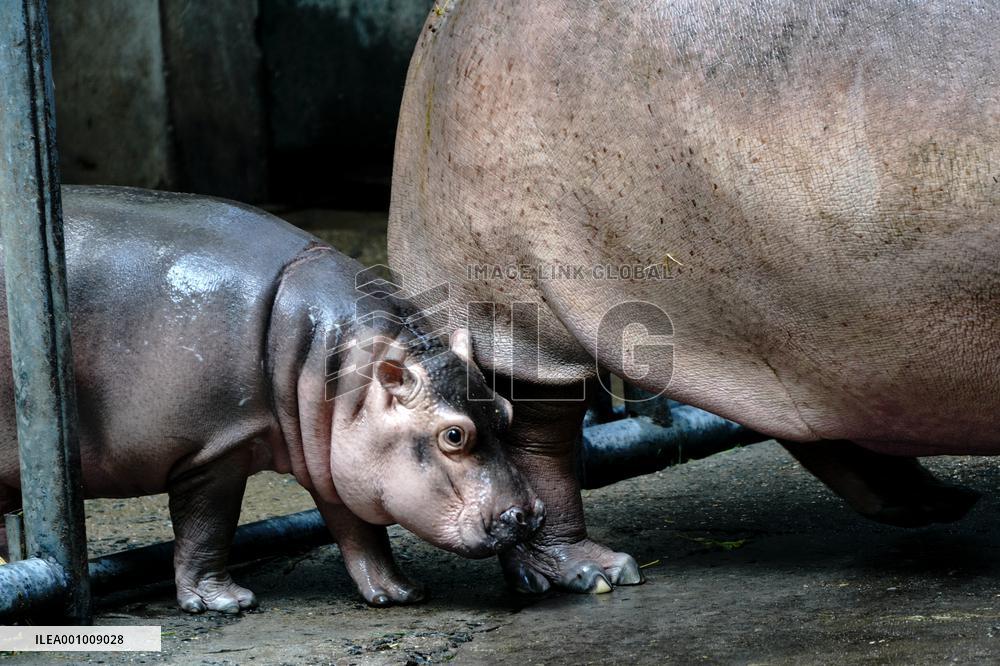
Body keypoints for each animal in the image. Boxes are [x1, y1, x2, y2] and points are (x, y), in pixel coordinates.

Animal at [0, 185, 543, 613]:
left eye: (505, 410)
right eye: (453, 435)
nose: (530, 514)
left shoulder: (332, 453)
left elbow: (357, 528)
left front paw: (399, 592)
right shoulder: (215, 449)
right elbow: (207, 528)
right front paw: (226, 603)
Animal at [387, 0, 999, 594]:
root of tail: (433, 37)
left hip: (800, 319)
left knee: (823, 416)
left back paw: (938, 501)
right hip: (521, 304)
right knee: (537, 439)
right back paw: (596, 574)